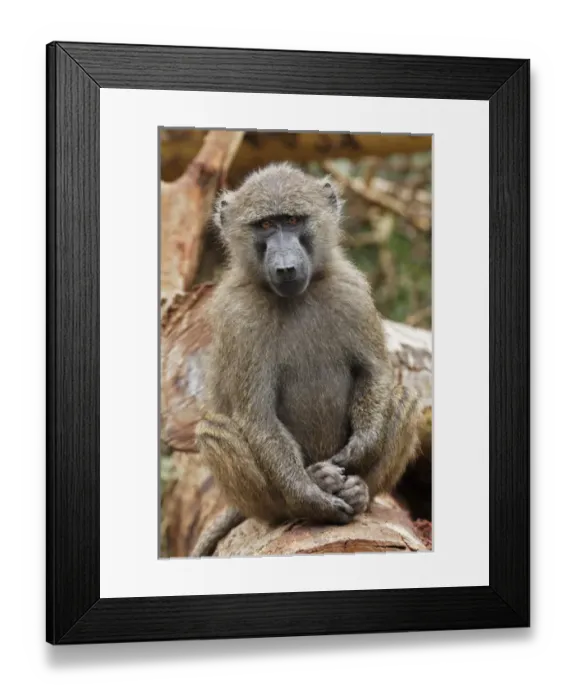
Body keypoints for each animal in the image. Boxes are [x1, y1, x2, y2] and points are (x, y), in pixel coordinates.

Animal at [191, 162, 421, 556]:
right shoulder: (239, 318)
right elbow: (257, 417)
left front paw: (358, 451)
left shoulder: (352, 292)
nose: (285, 267)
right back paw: (305, 495)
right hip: (260, 501)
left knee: (404, 399)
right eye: (266, 225)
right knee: (214, 431)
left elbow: (375, 373)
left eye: (294, 220)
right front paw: (313, 499)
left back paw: (359, 491)